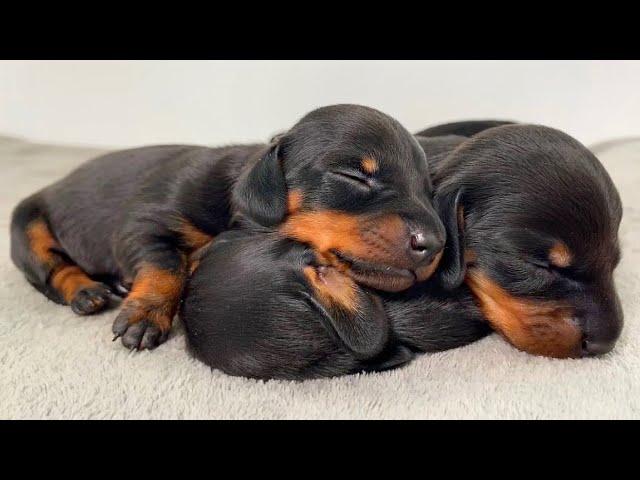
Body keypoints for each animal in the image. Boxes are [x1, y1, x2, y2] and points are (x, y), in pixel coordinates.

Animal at [12, 104, 448, 348]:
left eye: (428, 189)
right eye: (353, 176)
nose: (435, 243)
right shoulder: (142, 224)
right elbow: (166, 264)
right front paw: (146, 314)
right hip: (25, 222)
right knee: (50, 269)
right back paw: (87, 292)